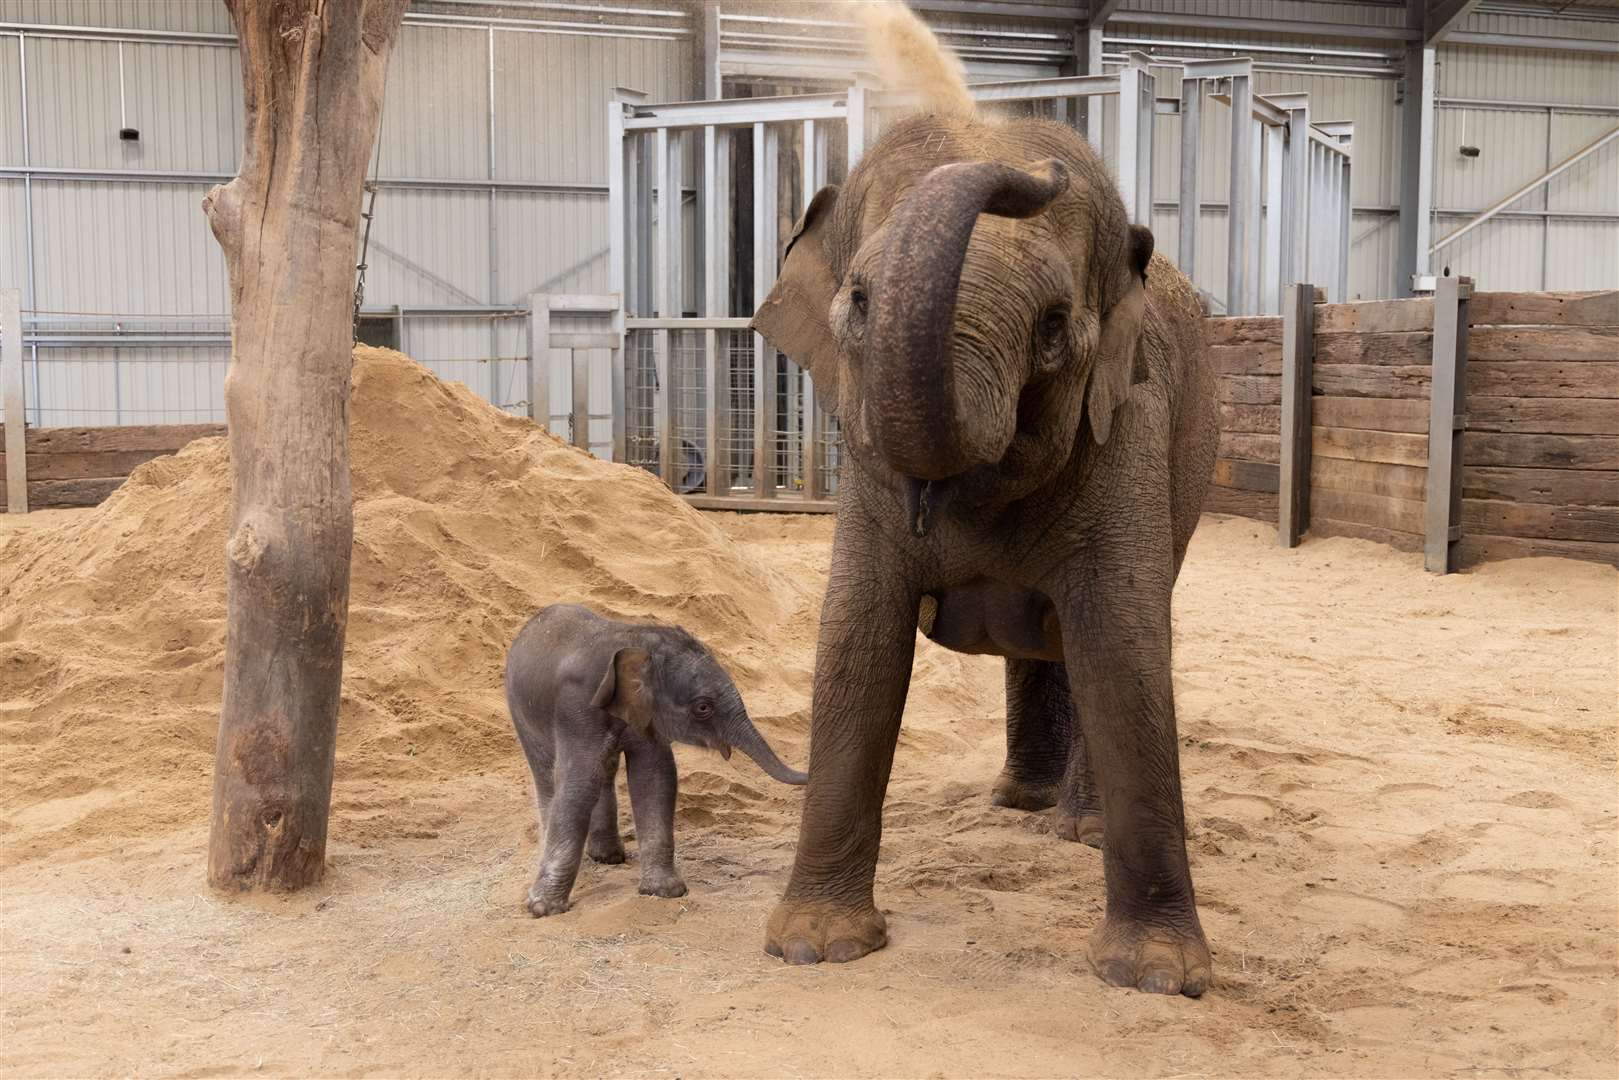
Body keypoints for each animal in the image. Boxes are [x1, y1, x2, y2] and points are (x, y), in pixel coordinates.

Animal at [505, 605, 809, 919]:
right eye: (703, 707)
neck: (637, 640)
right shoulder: (577, 709)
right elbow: (579, 784)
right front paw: (543, 908)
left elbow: (655, 777)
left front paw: (664, 892)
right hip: (521, 711)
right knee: (548, 774)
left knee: (605, 769)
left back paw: (608, 858)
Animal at [751, 110, 1217, 997]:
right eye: (858, 301)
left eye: (1053, 326)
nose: (1046, 170)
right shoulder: (865, 472)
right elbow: (856, 645)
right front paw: (815, 948)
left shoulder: (1129, 426)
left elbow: (1124, 652)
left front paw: (1155, 978)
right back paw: (1019, 803)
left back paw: (1076, 828)